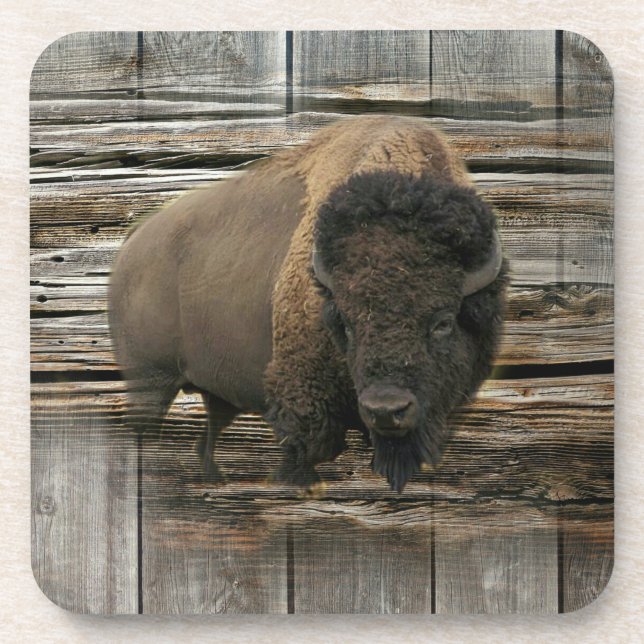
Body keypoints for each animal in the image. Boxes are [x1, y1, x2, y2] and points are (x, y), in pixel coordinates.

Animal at [109, 115, 507, 493]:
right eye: (345, 323)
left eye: (443, 322)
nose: (386, 410)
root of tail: (133, 242)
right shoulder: (303, 401)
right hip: (150, 381)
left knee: (205, 440)